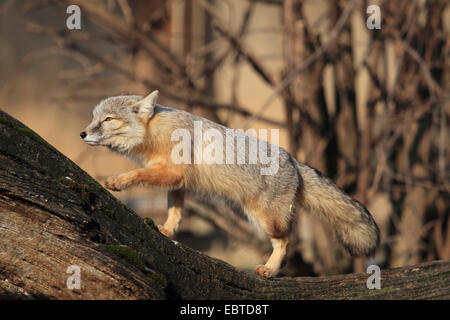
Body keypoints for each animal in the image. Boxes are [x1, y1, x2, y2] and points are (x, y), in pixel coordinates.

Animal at [81, 89, 380, 278]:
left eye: (108, 119)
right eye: (94, 118)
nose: (82, 133)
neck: (157, 132)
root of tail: (294, 160)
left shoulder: (172, 172)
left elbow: (140, 175)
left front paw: (119, 181)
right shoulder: (179, 181)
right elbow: (175, 209)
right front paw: (167, 229)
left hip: (265, 220)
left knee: (286, 241)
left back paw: (270, 270)